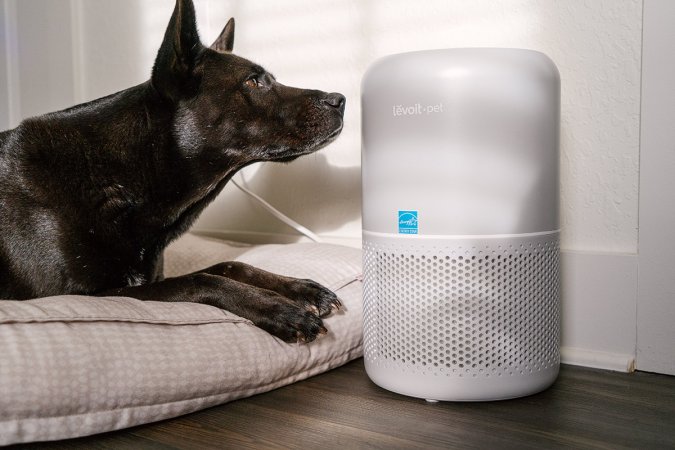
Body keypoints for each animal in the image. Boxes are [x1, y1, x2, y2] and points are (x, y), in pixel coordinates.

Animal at [0, 0, 346, 342]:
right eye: (253, 82)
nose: (340, 100)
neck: (127, 175)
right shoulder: (87, 295)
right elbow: (202, 280)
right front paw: (279, 309)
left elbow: (229, 264)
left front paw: (300, 289)